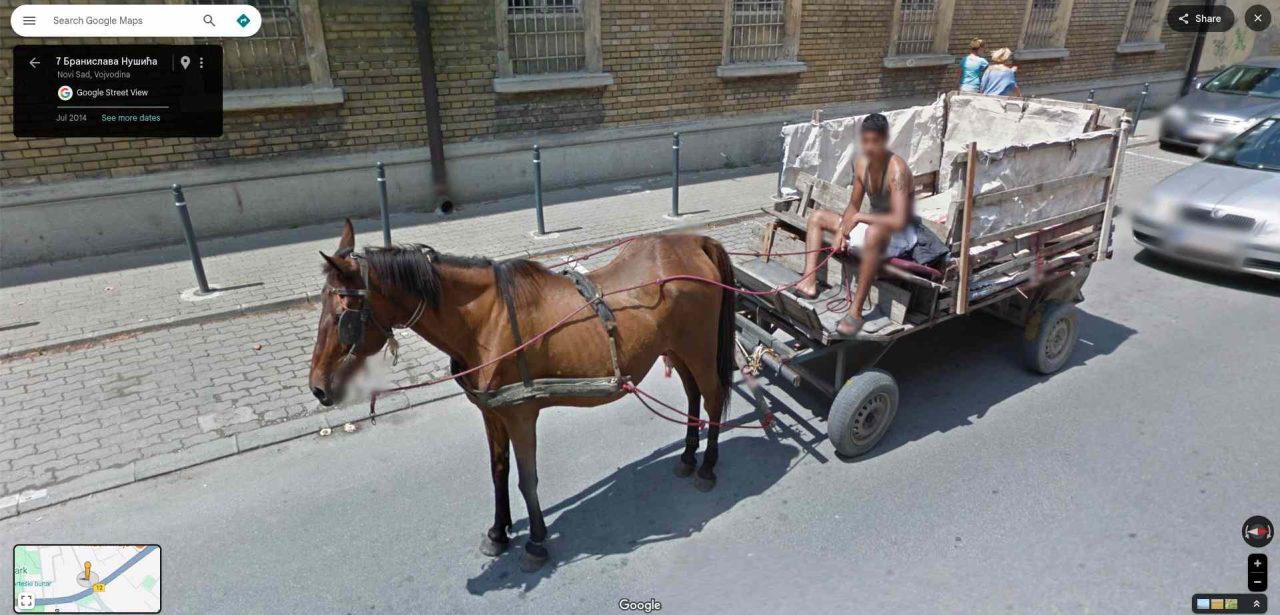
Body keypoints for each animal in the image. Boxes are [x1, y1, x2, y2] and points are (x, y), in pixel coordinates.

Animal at [308, 220, 737, 571]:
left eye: (342, 314)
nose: (317, 387)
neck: (487, 322)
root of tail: (695, 242)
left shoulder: (520, 413)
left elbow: (527, 478)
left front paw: (535, 541)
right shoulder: (491, 412)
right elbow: (499, 472)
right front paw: (499, 533)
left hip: (698, 347)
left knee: (713, 396)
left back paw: (708, 466)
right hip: (677, 348)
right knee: (693, 394)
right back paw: (687, 455)